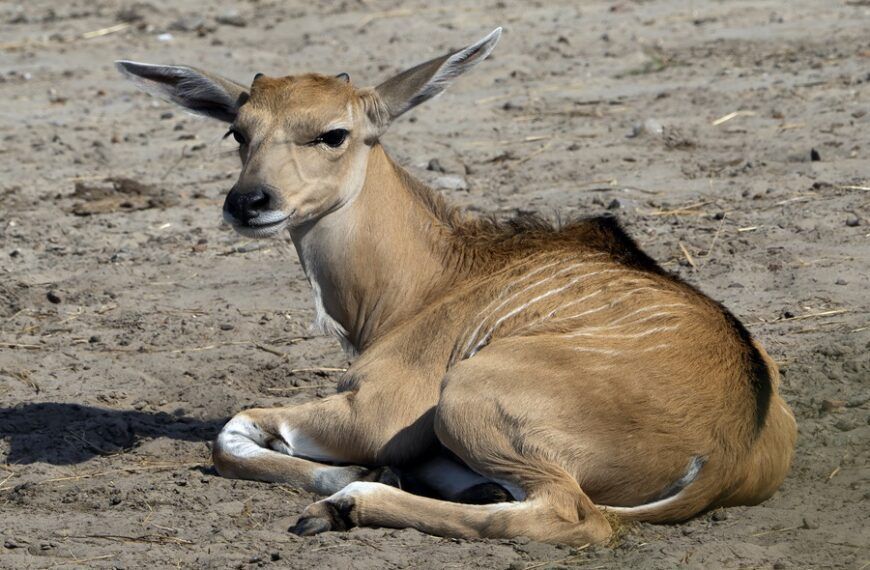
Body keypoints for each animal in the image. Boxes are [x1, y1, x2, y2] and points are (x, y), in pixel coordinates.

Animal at [119, 28, 800, 544]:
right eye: (238, 132)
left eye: (333, 133)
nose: (248, 202)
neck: (438, 274)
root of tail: (729, 451)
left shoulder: (375, 413)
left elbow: (230, 432)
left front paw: (348, 479)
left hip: (466, 399)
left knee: (569, 513)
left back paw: (351, 501)